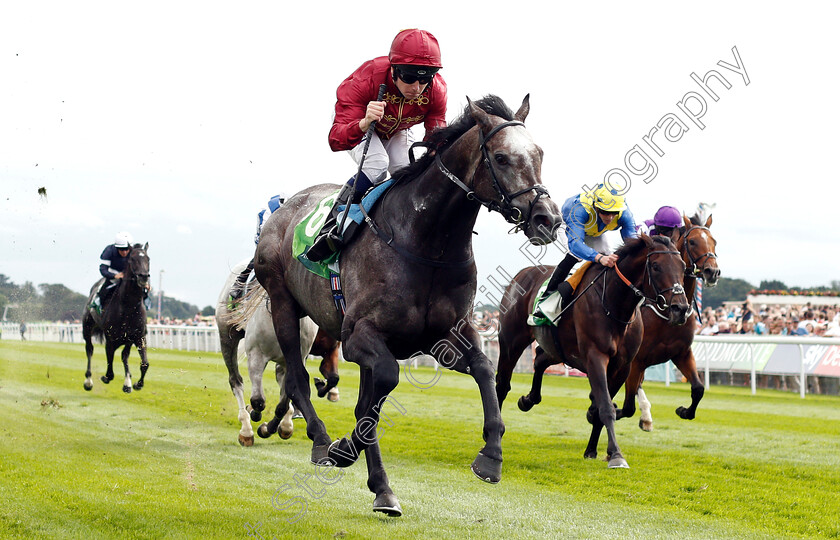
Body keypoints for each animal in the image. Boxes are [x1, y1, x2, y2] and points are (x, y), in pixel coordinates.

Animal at [83, 244, 151, 392]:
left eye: (148, 259)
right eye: (132, 259)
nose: (143, 277)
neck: (129, 306)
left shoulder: (138, 337)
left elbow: (144, 363)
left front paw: (136, 384)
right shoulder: (111, 339)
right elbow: (110, 368)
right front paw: (106, 377)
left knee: (124, 356)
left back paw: (127, 382)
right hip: (87, 327)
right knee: (89, 349)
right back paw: (88, 381)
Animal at [217, 258, 342, 448]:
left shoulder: (298, 358)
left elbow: (284, 402)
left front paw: (269, 428)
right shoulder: (256, 355)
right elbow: (258, 400)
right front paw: (254, 416)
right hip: (227, 337)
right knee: (235, 381)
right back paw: (246, 429)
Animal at [253, 96, 560, 516]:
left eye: (539, 153)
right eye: (500, 157)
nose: (548, 218)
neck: (426, 243)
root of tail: (280, 209)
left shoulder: (443, 336)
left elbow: (483, 369)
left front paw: (491, 455)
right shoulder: (358, 335)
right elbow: (384, 383)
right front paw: (343, 448)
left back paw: (381, 488)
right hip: (284, 305)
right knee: (298, 378)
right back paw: (322, 441)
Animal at [496, 236, 684, 468]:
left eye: (683, 266)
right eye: (656, 266)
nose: (681, 309)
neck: (616, 306)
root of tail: (522, 273)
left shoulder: (622, 367)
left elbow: (602, 407)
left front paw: (594, 450)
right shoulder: (595, 358)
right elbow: (605, 406)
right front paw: (617, 455)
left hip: (557, 348)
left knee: (539, 359)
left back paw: (528, 399)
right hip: (511, 342)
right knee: (502, 385)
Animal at [612, 211, 720, 430]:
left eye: (714, 241)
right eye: (693, 242)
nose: (712, 272)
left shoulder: (682, 353)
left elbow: (699, 388)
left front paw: (684, 411)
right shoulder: (636, 361)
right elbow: (627, 407)